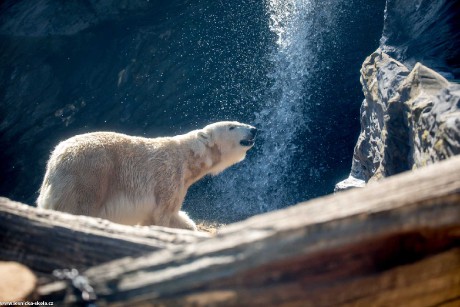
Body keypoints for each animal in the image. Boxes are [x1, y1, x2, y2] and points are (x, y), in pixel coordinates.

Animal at [37, 122, 256, 231]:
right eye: (232, 126)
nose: (253, 129)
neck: (188, 158)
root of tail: (55, 160)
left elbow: (177, 219)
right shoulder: (168, 177)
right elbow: (162, 215)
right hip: (89, 176)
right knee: (78, 208)